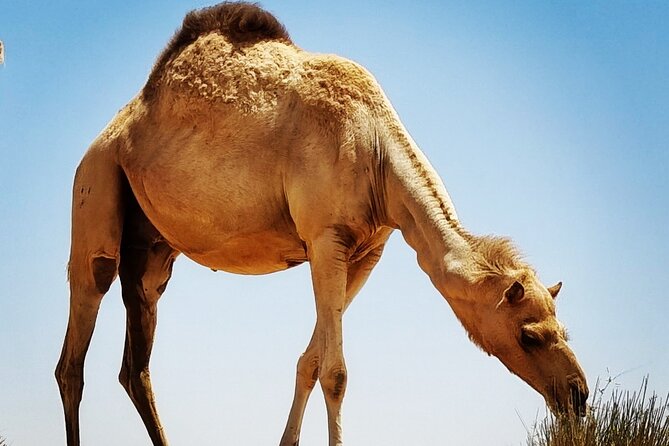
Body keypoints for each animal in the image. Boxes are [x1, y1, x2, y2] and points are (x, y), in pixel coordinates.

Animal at [55, 3, 588, 445]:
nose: (578, 395)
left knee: (135, 365)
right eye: (528, 335)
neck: (376, 150)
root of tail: (109, 133)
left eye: (563, 329)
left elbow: (310, 361)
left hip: (152, 249)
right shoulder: (325, 238)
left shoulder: (365, 252)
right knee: (73, 356)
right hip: (95, 187)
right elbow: (336, 372)